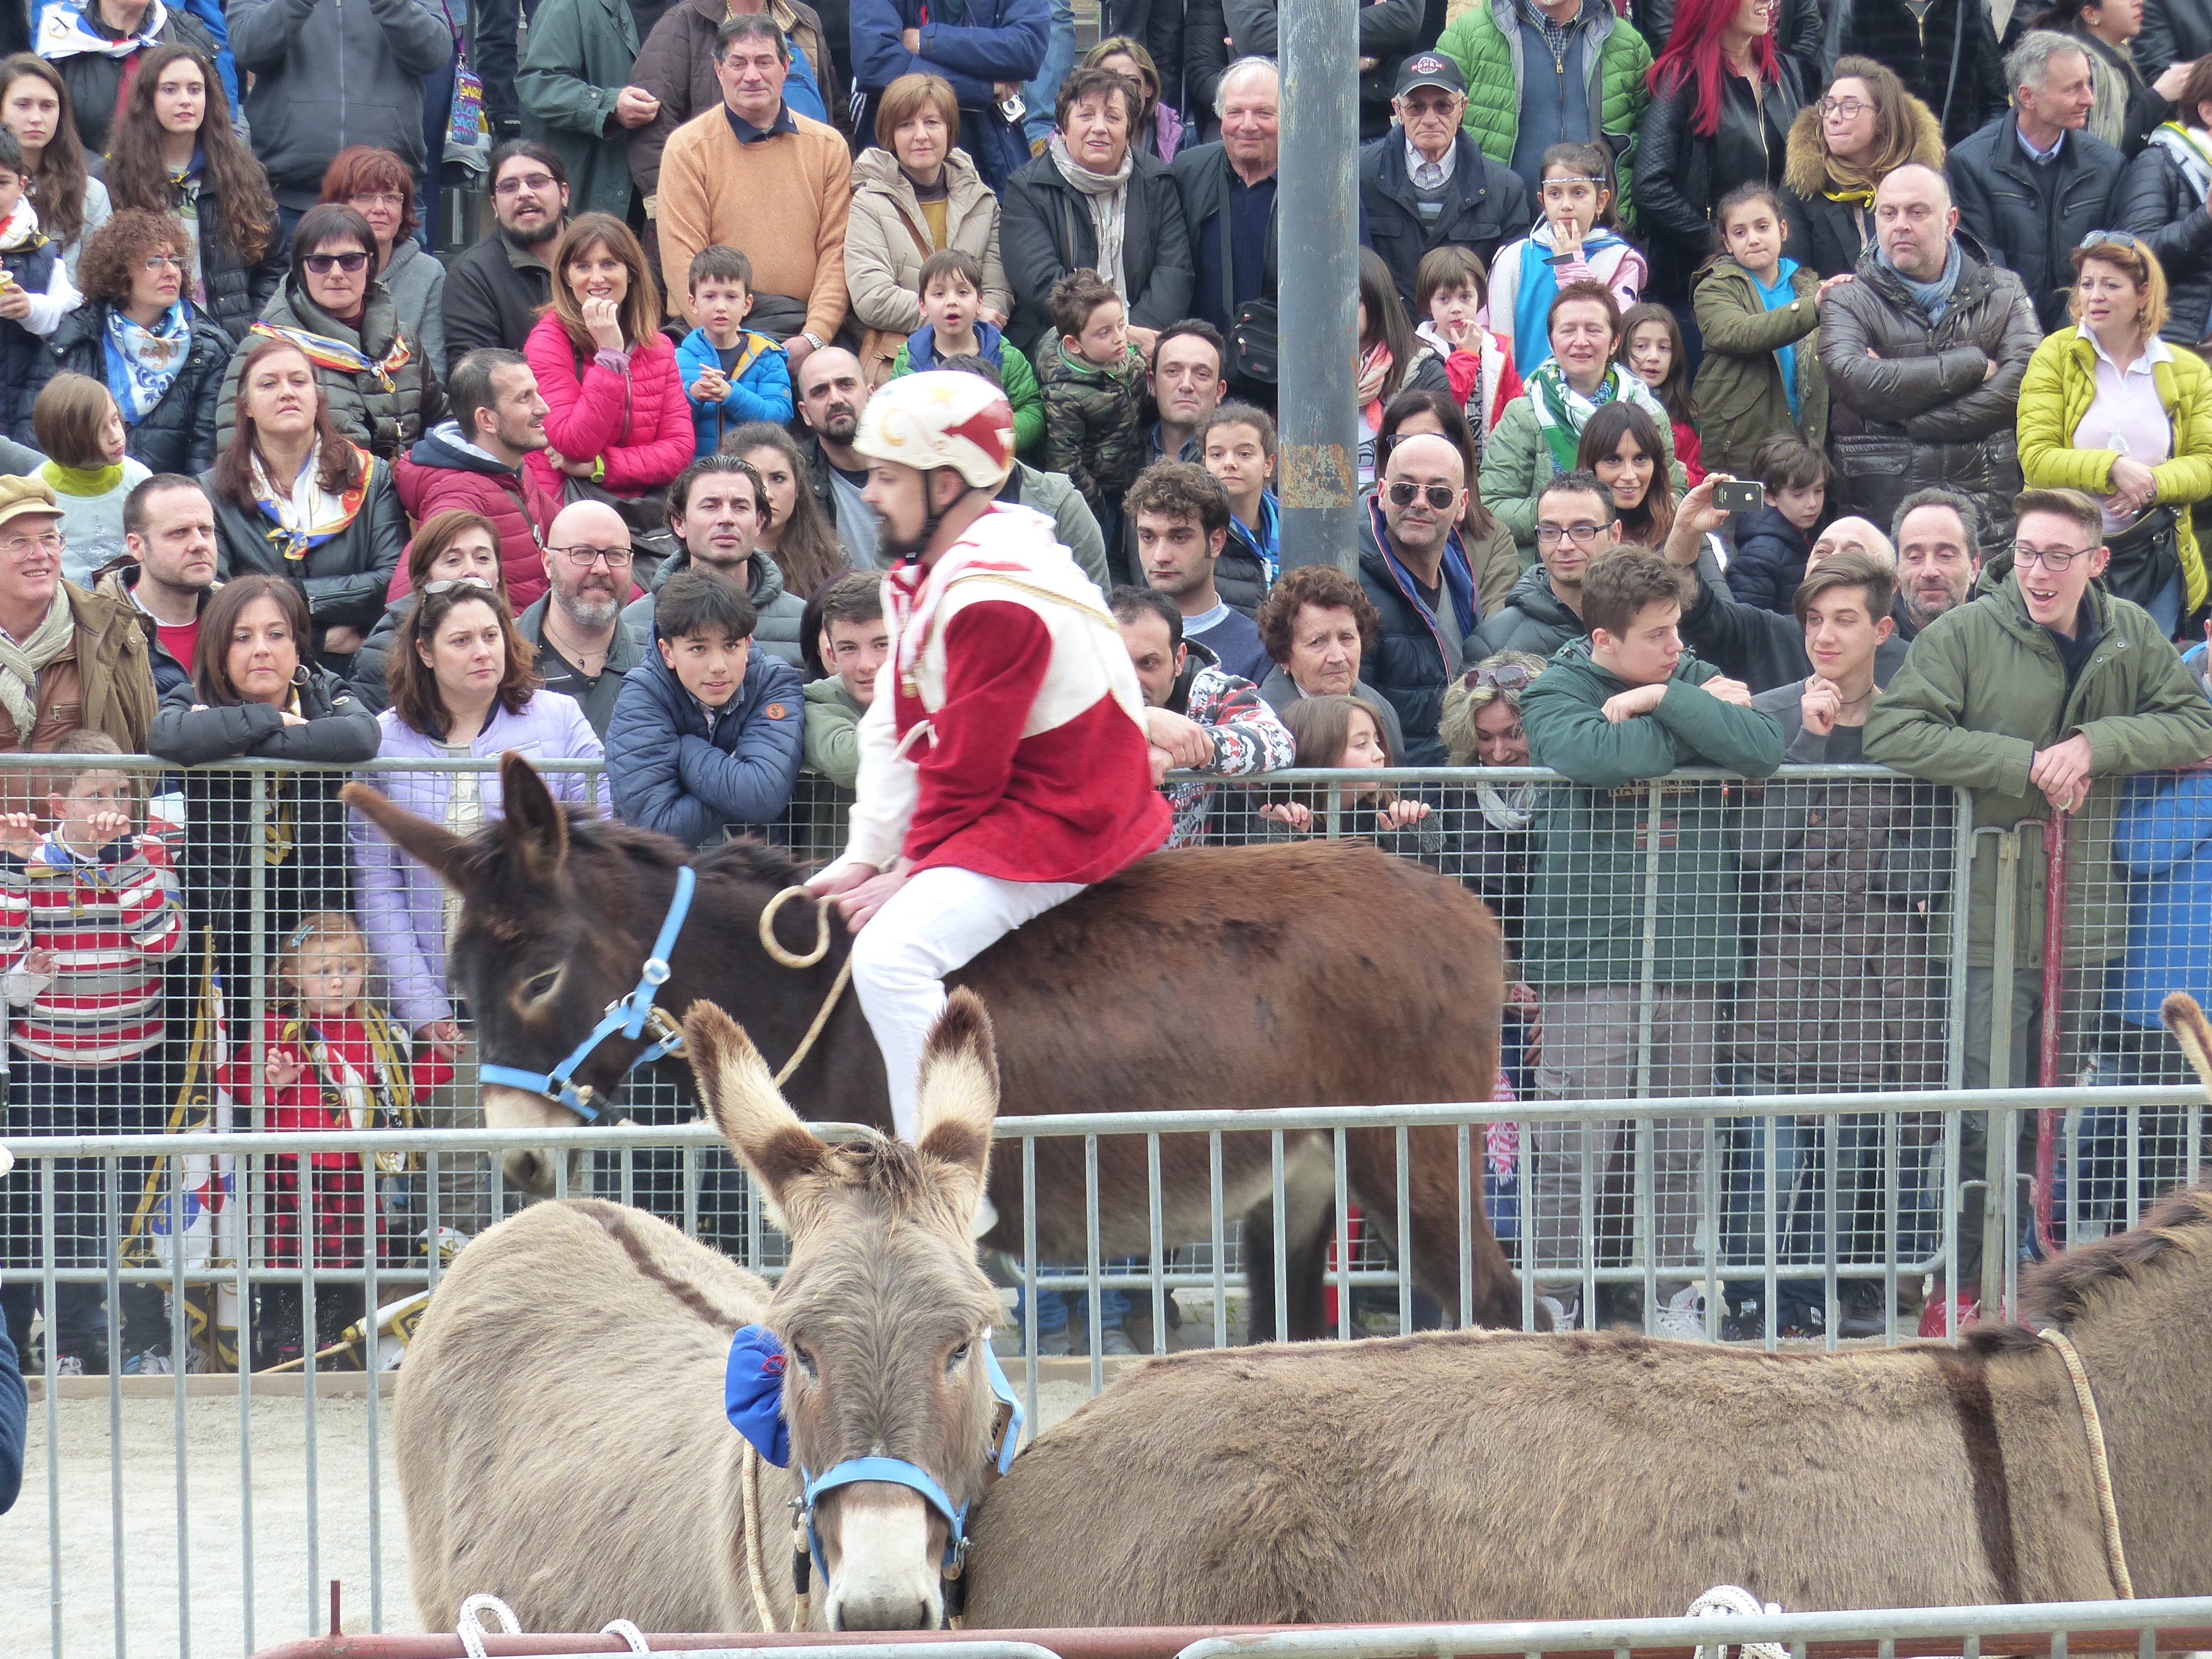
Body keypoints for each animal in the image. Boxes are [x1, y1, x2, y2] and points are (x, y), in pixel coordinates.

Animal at [342, 754, 1527, 1339]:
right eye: (460, 990)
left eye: (540, 978)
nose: (519, 1159)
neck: (802, 989)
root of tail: (1468, 909)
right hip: (1302, 1171)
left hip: (1411, 1153)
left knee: (1503, 1305)